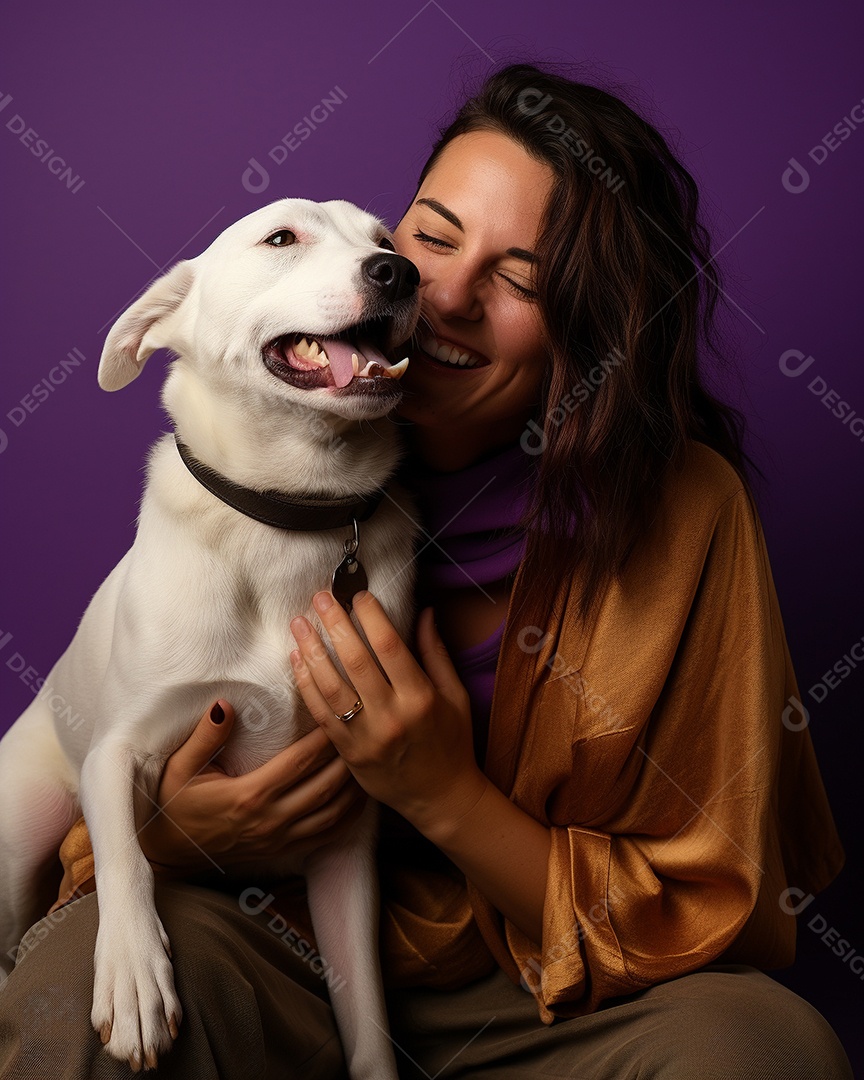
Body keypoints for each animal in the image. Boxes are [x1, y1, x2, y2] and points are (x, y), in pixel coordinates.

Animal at [0, 198, 421, 1075]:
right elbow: (124, 858)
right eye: (282, 238)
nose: (400, 273)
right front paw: (132, 972)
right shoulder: (119, 749)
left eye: (385, 240)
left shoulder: (346, 846)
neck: (287, 518)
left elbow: (366, 1017)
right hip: (18, 835)